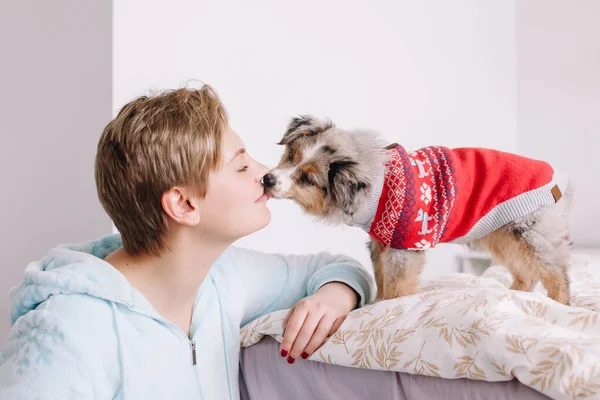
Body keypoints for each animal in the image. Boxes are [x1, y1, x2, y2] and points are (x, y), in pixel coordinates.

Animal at [262, 115, 572, 306]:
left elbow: (397, 287)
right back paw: (516, 295)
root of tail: (554, 177)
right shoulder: (380, 243)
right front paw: (376, 304)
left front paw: (386, 309)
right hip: (502, 234)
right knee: (526, 272)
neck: (379, 184)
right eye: (291, 154)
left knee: (555, 270)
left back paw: (561, 303)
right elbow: (381, 279)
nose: (267, 179)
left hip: (530, 232)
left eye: (307, 179)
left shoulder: (405, 245)